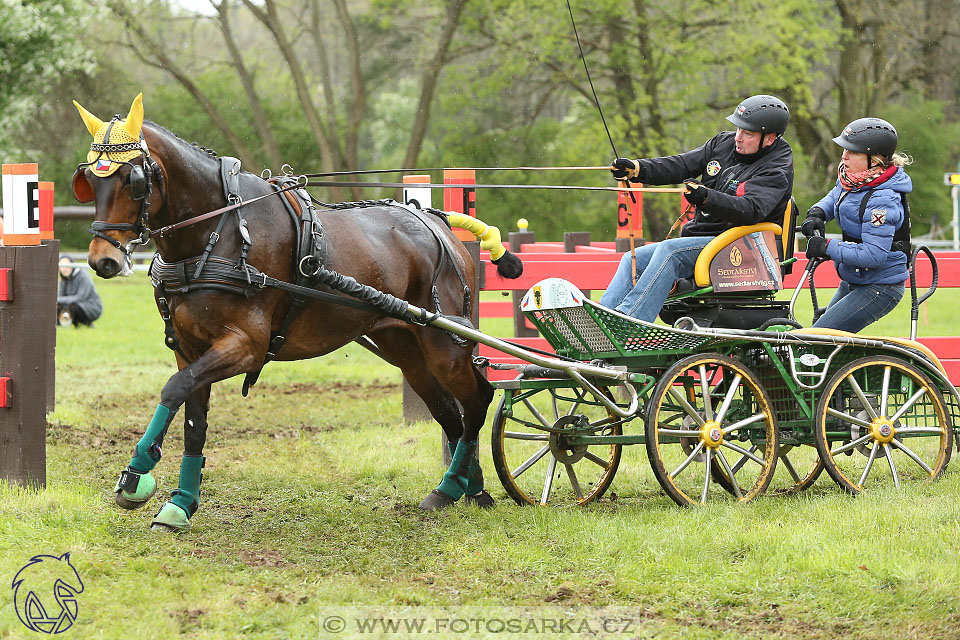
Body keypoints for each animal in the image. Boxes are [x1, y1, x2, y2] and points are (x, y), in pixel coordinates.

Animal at [73, 91, 524, 528]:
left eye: (132, 180)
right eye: (89, 181)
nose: (102, 260)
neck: (219, 233)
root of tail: (437, 222)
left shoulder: (245, 347)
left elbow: (172, 389)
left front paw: (135, 475)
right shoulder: (189, 349)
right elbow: (193, 422)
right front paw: (180, 504)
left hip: (445, 345)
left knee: (478, 401)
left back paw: (461, 486)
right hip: (406, 348)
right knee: (451, 414)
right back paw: (463, 488)